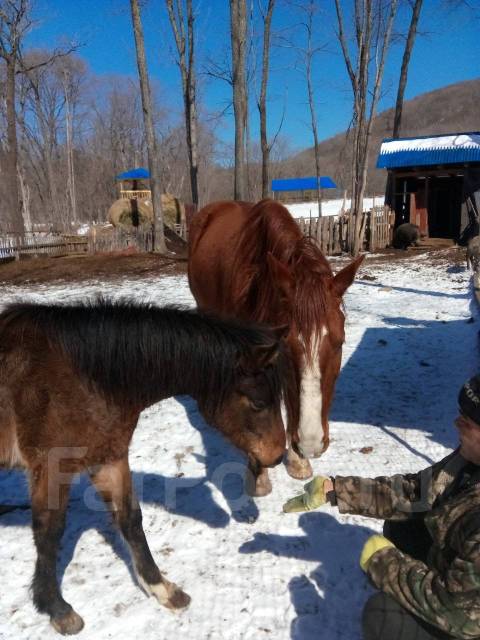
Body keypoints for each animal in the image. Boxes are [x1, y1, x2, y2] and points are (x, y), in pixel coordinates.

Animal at [0, 302, 288, 636]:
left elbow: (130, 520)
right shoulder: (50, 467)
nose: (277, 456)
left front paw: (162, 588)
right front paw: (57, 609)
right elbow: (50, 533)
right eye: (257, 403)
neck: (79, 379)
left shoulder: (109, 458)